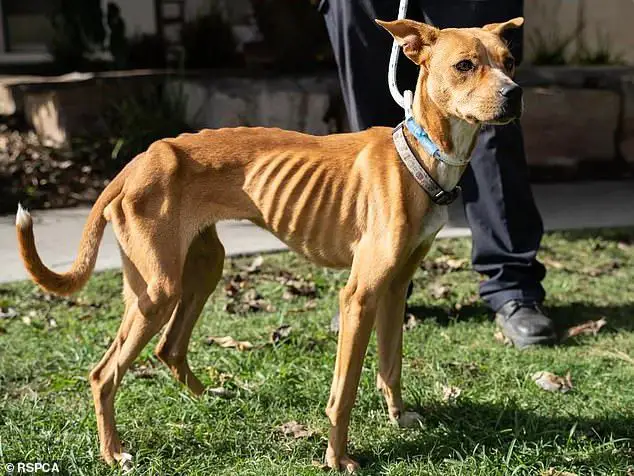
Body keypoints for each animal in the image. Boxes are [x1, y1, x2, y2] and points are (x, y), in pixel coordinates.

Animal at [17, 17, 524, 472]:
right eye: (464, 65)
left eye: (510, 62)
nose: (515, 93)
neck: (420, 154)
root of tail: (139, 159)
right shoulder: (359, 296)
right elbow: (345, 390)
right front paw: (337, 458)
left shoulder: (395, 287)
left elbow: (390, 363)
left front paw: (398, 419)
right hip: (157, 290)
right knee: (103, 373)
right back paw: (113, 451)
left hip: (201, 268)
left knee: (170, 348)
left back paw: (213, 397)